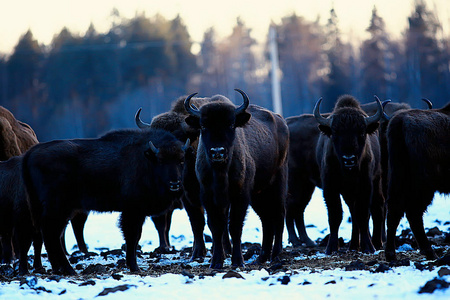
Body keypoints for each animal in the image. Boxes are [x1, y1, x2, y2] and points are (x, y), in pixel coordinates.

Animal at [21, 129, 188, 274]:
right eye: (161, 161)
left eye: (181, 160)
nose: (175, 184)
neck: (147, 160)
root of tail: (30, 153)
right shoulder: (133, 212)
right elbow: (132, 237)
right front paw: (134, 267)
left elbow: (135, 237)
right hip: (58, 208)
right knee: (52, 234)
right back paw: (68, 269)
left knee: (49, 235)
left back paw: (58, 269)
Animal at [183, 88, 288, 268]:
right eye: (203, 126)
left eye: (231, 125)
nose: (217, 151)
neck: (220, 172)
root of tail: (281, 120)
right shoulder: (208, 196)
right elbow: (216, 226)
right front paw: (216, 262)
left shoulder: (240, 195)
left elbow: (235, 226)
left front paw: (238, 261)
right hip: (259, 194)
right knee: (266, 220)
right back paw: (262, 257)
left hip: (277, 184)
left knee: (279, 215)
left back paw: (275, 255)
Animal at [312, 95, 384, 254]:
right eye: (335, 134)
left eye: (361, 133)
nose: (349, 159)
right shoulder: (330, 188)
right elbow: (335, 215)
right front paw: (331, 247)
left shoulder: (366, 185)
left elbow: (363, 214)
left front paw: (368, 246)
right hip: (349, 194)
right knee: (353, 212)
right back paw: (353, 245)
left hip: (376, 180)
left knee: (377, 206)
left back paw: (377, 242)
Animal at [384, 102, 450, 262]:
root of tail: (399, 121)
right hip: (424, 184)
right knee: (414, 212)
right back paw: (430, 252)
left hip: (397, 177)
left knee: (394, 210)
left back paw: (391, 254)